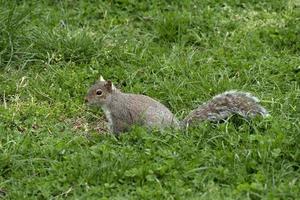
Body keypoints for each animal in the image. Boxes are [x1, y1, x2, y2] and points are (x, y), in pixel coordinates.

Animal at [84, 76, 270, 134]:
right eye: (91, 86)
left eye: (99, 92)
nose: (85, 100)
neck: (112, 100)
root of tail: (177, 127)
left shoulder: (119, 116)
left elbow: (118, 130)